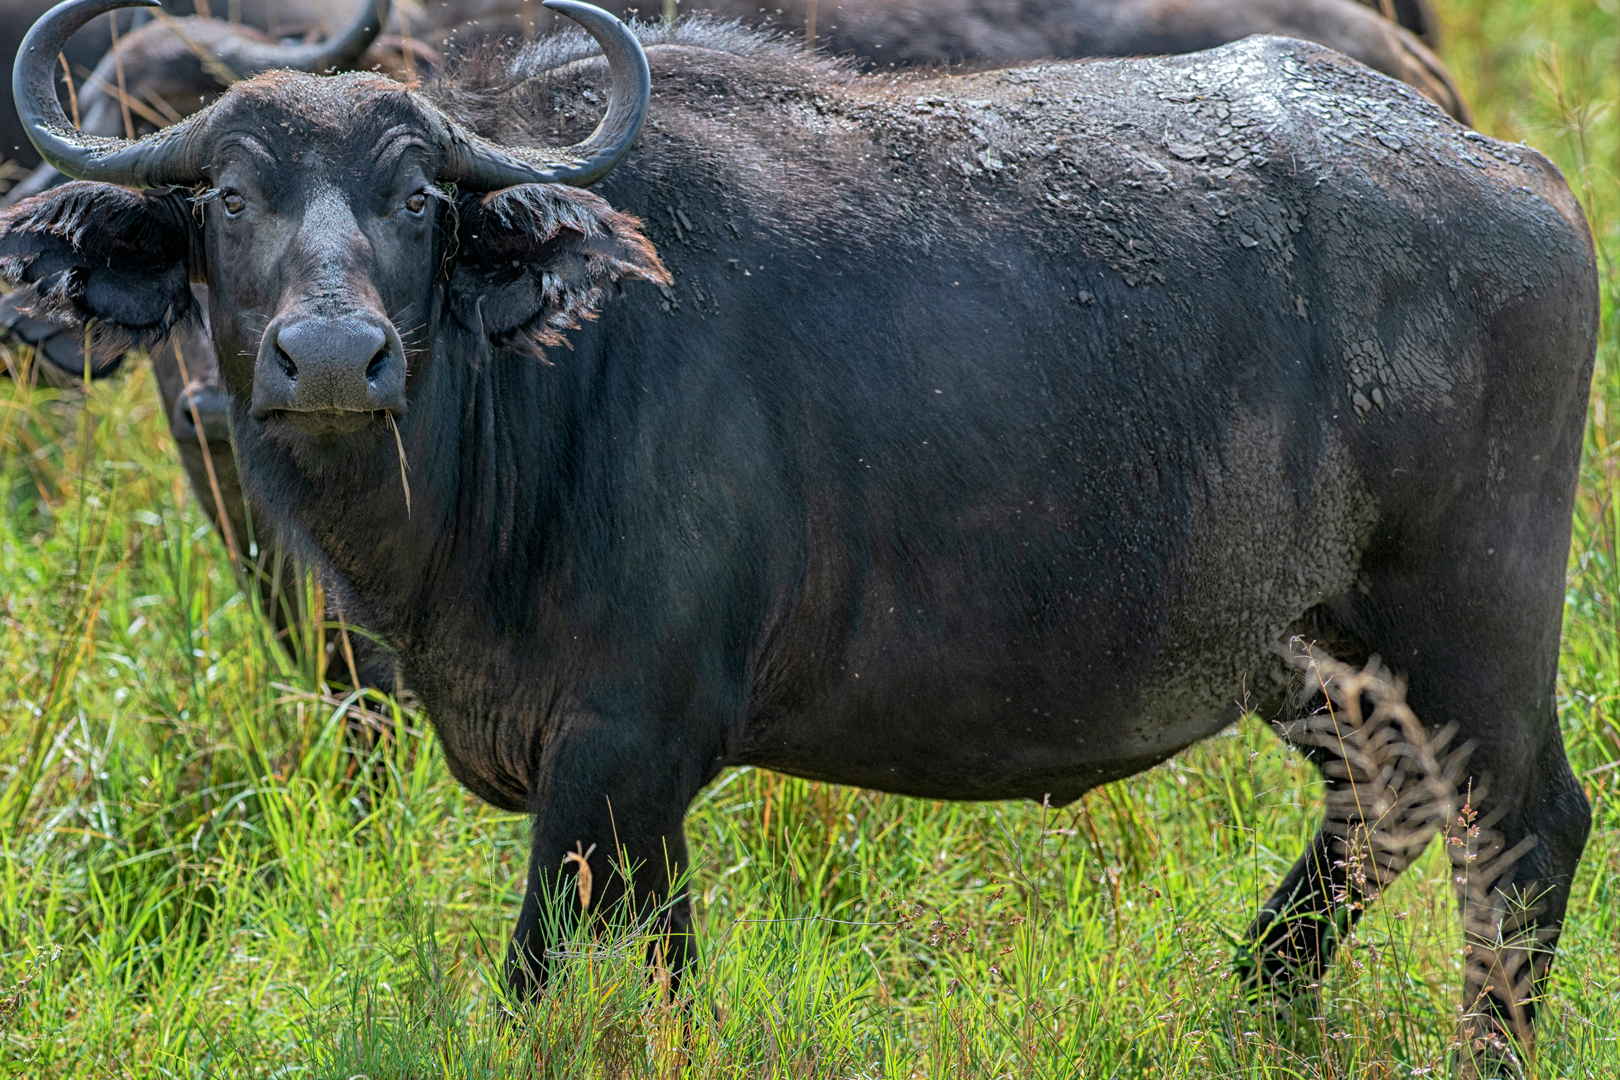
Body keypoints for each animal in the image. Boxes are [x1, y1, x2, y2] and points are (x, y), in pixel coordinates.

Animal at [0, 0, 1594, 1068]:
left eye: (413, 200)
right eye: (226, 193)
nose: (332, 356)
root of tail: (1502, 165)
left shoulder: (620, 756)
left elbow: (541, 982)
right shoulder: (633, 801)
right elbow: (659, 977)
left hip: (1472, 621)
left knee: (1522, 833)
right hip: (1311, 647)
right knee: (1385, 806)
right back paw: (1252, 1000)